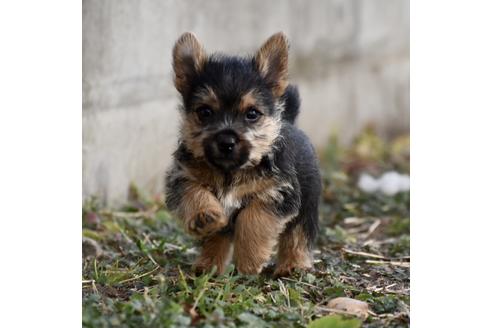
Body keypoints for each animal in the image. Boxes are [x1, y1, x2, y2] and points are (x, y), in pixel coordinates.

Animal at [163, 32, 320, 276]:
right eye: (205, 112)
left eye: (252, 114)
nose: (226, 141)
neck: (230, 172)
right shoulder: (182, 178)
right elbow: (195, 194)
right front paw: (204, 216)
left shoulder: (277, 192)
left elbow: (254, 218)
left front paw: (250, 260)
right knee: (217, 238)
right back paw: (208, 265)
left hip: (307, 205)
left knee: (298, 235)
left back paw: (293, 266)